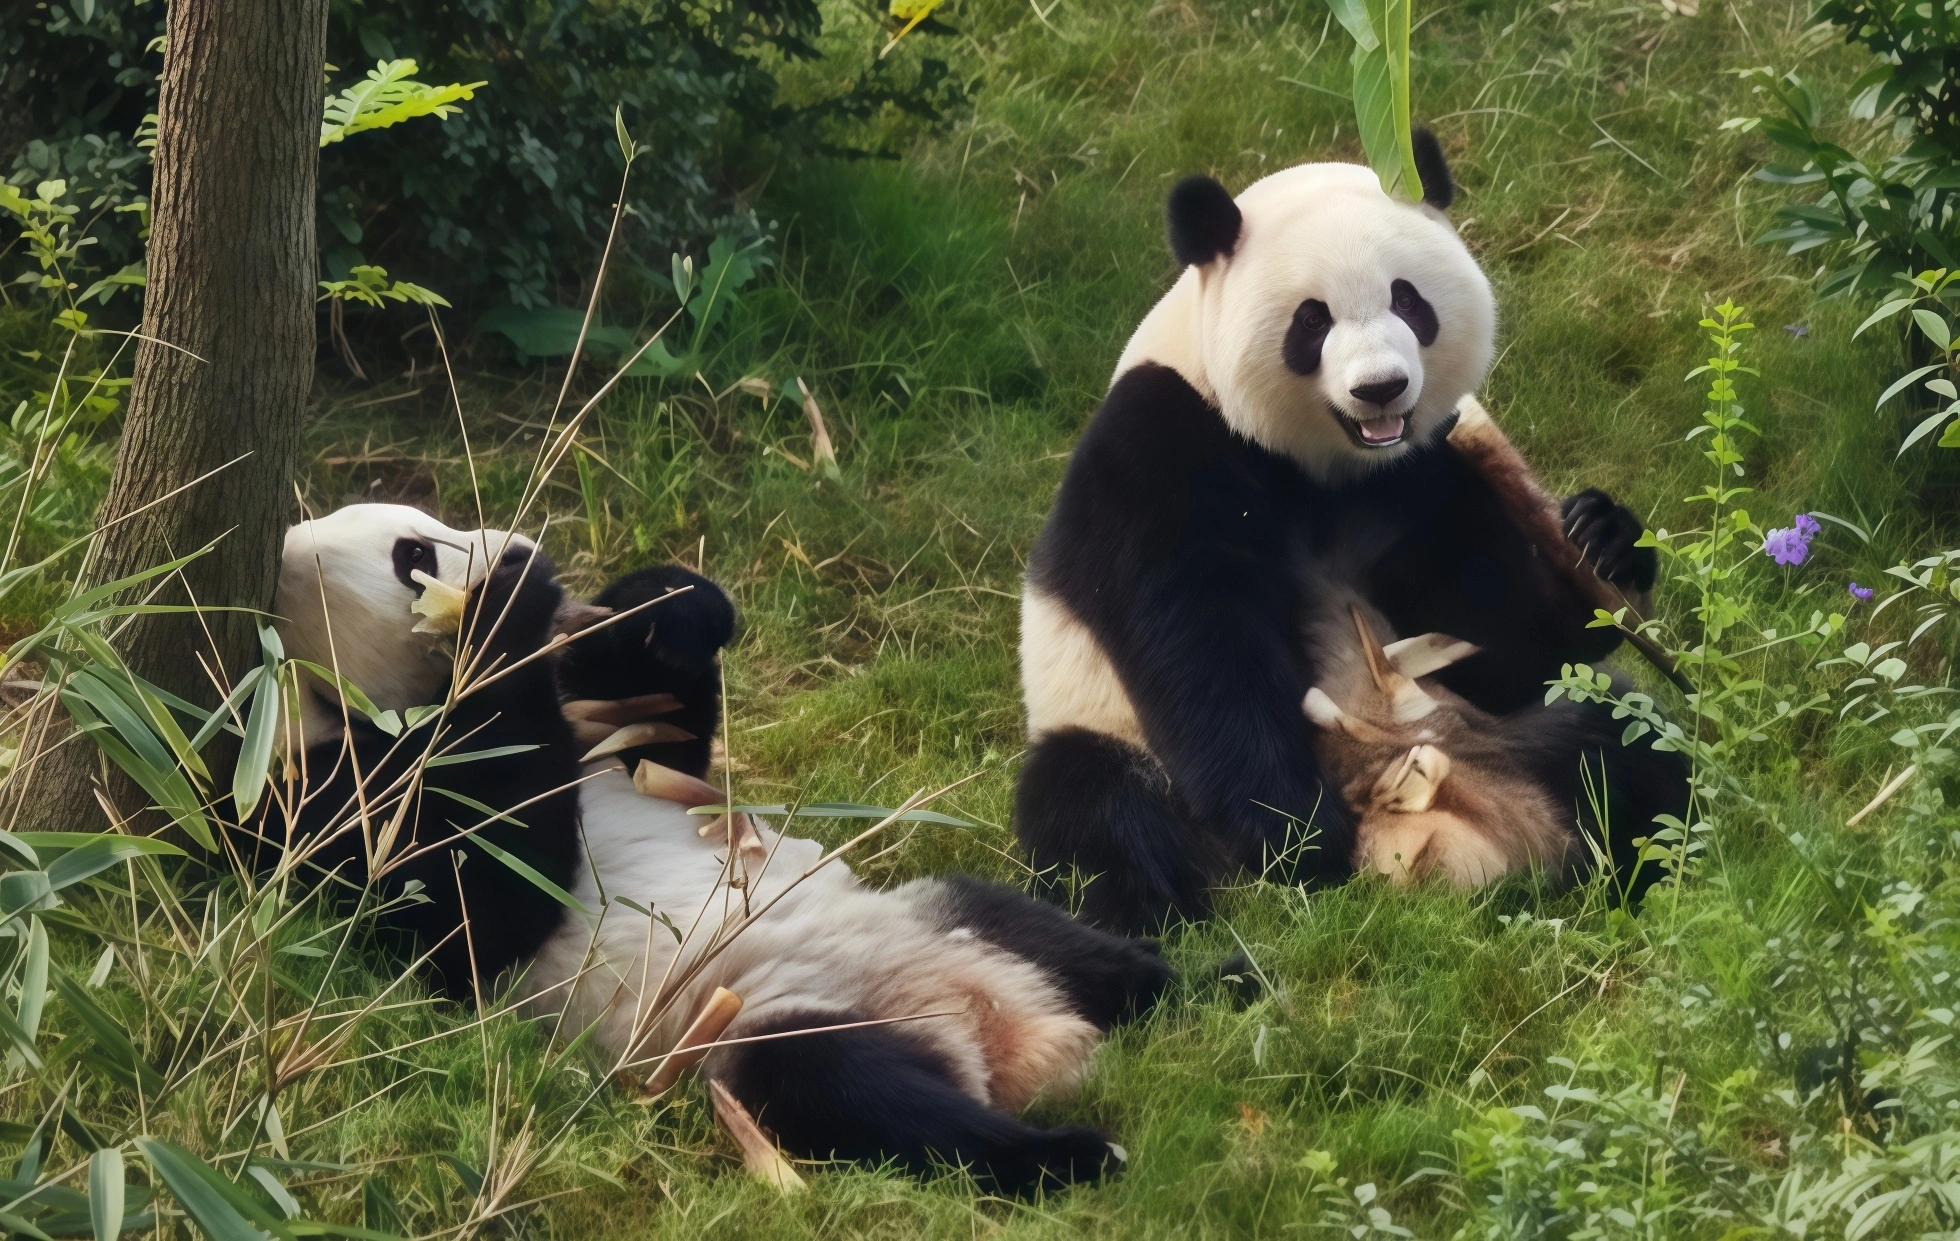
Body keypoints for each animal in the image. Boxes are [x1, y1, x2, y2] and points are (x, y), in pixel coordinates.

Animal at [260, 503, 1173, 1192]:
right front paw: (507, 612)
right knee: (855, 1094)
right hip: (768, 1022)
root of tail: (1011, 1030)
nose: (520, 547)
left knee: (1038, 929)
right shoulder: (324, 801)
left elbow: (666, 740)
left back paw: (1186, 982)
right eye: (413, 554)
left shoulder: (609, 744)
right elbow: (470, 912)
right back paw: (1070, 1152)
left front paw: (667, 605)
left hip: (933, 910)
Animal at [1014, 131, 1689, 933]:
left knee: (1625, 749)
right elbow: (1202, 646)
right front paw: (1300, 839)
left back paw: (1655, 871)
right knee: (1096, 809)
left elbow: (1508, 641)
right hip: (1110, 734)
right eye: (1312, 320)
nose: (1380, 388)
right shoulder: (1159, 448)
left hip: (1521, 731)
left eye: (1408, 299)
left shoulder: (1424, 473)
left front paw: (1603, 537)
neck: (1325, 465)